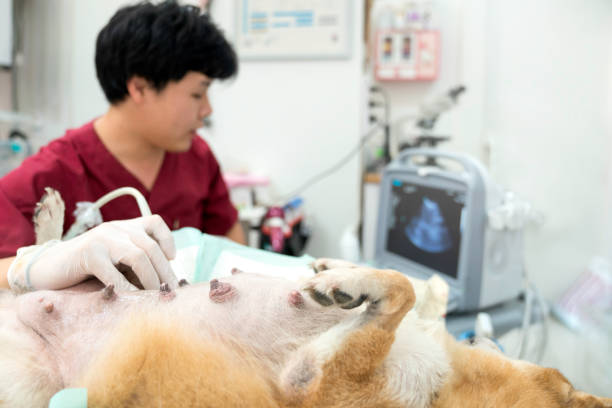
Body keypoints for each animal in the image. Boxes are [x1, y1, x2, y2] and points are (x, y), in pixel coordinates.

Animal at [0, 190, 608, 406]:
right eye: (567, 385)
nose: (487, 339)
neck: (443, 392)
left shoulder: (318, 382)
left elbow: (403, 290)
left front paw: (348, 283)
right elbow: (405, 285)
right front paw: (339, 270)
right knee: (33, 260)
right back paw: (54, 219)